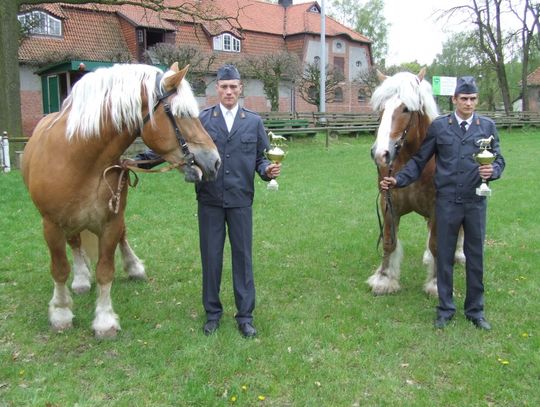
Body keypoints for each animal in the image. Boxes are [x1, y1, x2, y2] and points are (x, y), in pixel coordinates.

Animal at [22, 63, 221, 338]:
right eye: (181, 114)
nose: (215, 161)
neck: (79, 159)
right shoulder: (51, 225)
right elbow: (59, 269)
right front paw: (61, 313)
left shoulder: (111, 221)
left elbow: (105, 270)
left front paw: (105, 320)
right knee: (74, 243)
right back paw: (81, 279)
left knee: (121, 237)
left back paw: (133, 267)